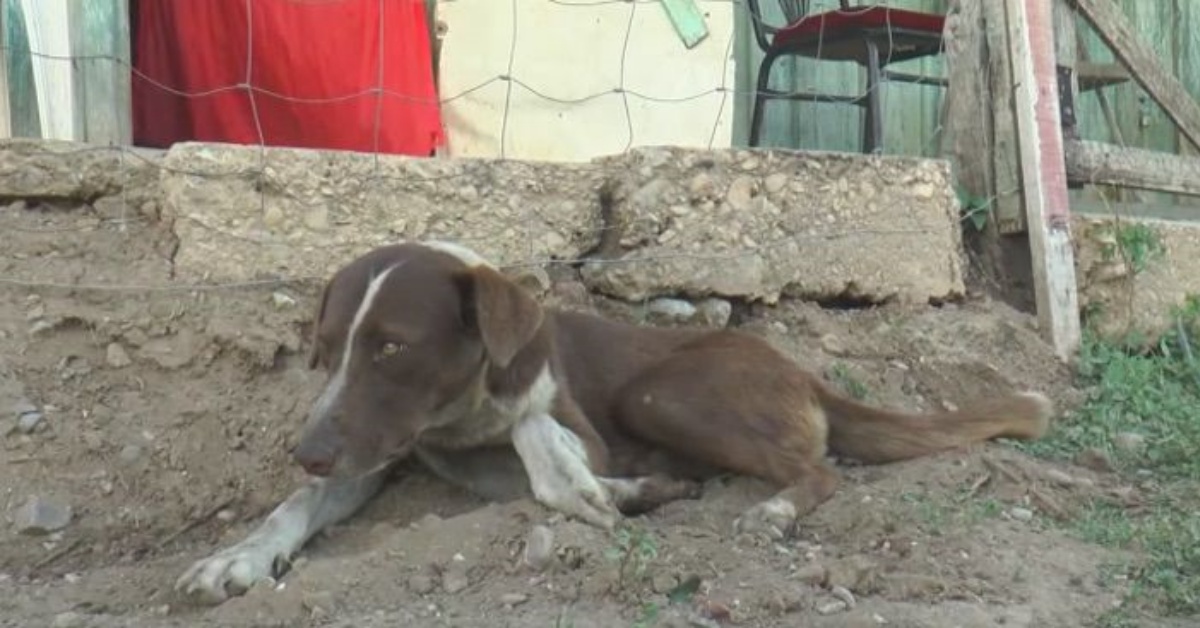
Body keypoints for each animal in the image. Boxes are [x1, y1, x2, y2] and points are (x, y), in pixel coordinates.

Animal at [171, 241, 1051, 605]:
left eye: (392, 347)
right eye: (325, 352)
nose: (307, 451)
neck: (456, 419)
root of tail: (803, 369)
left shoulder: (569, 421)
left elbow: (539, 439)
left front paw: (583, 480)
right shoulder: (379, 445)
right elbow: (294, 508)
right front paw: (233, 559)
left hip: (664, 394)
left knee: (820, 469)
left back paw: (766, 508)